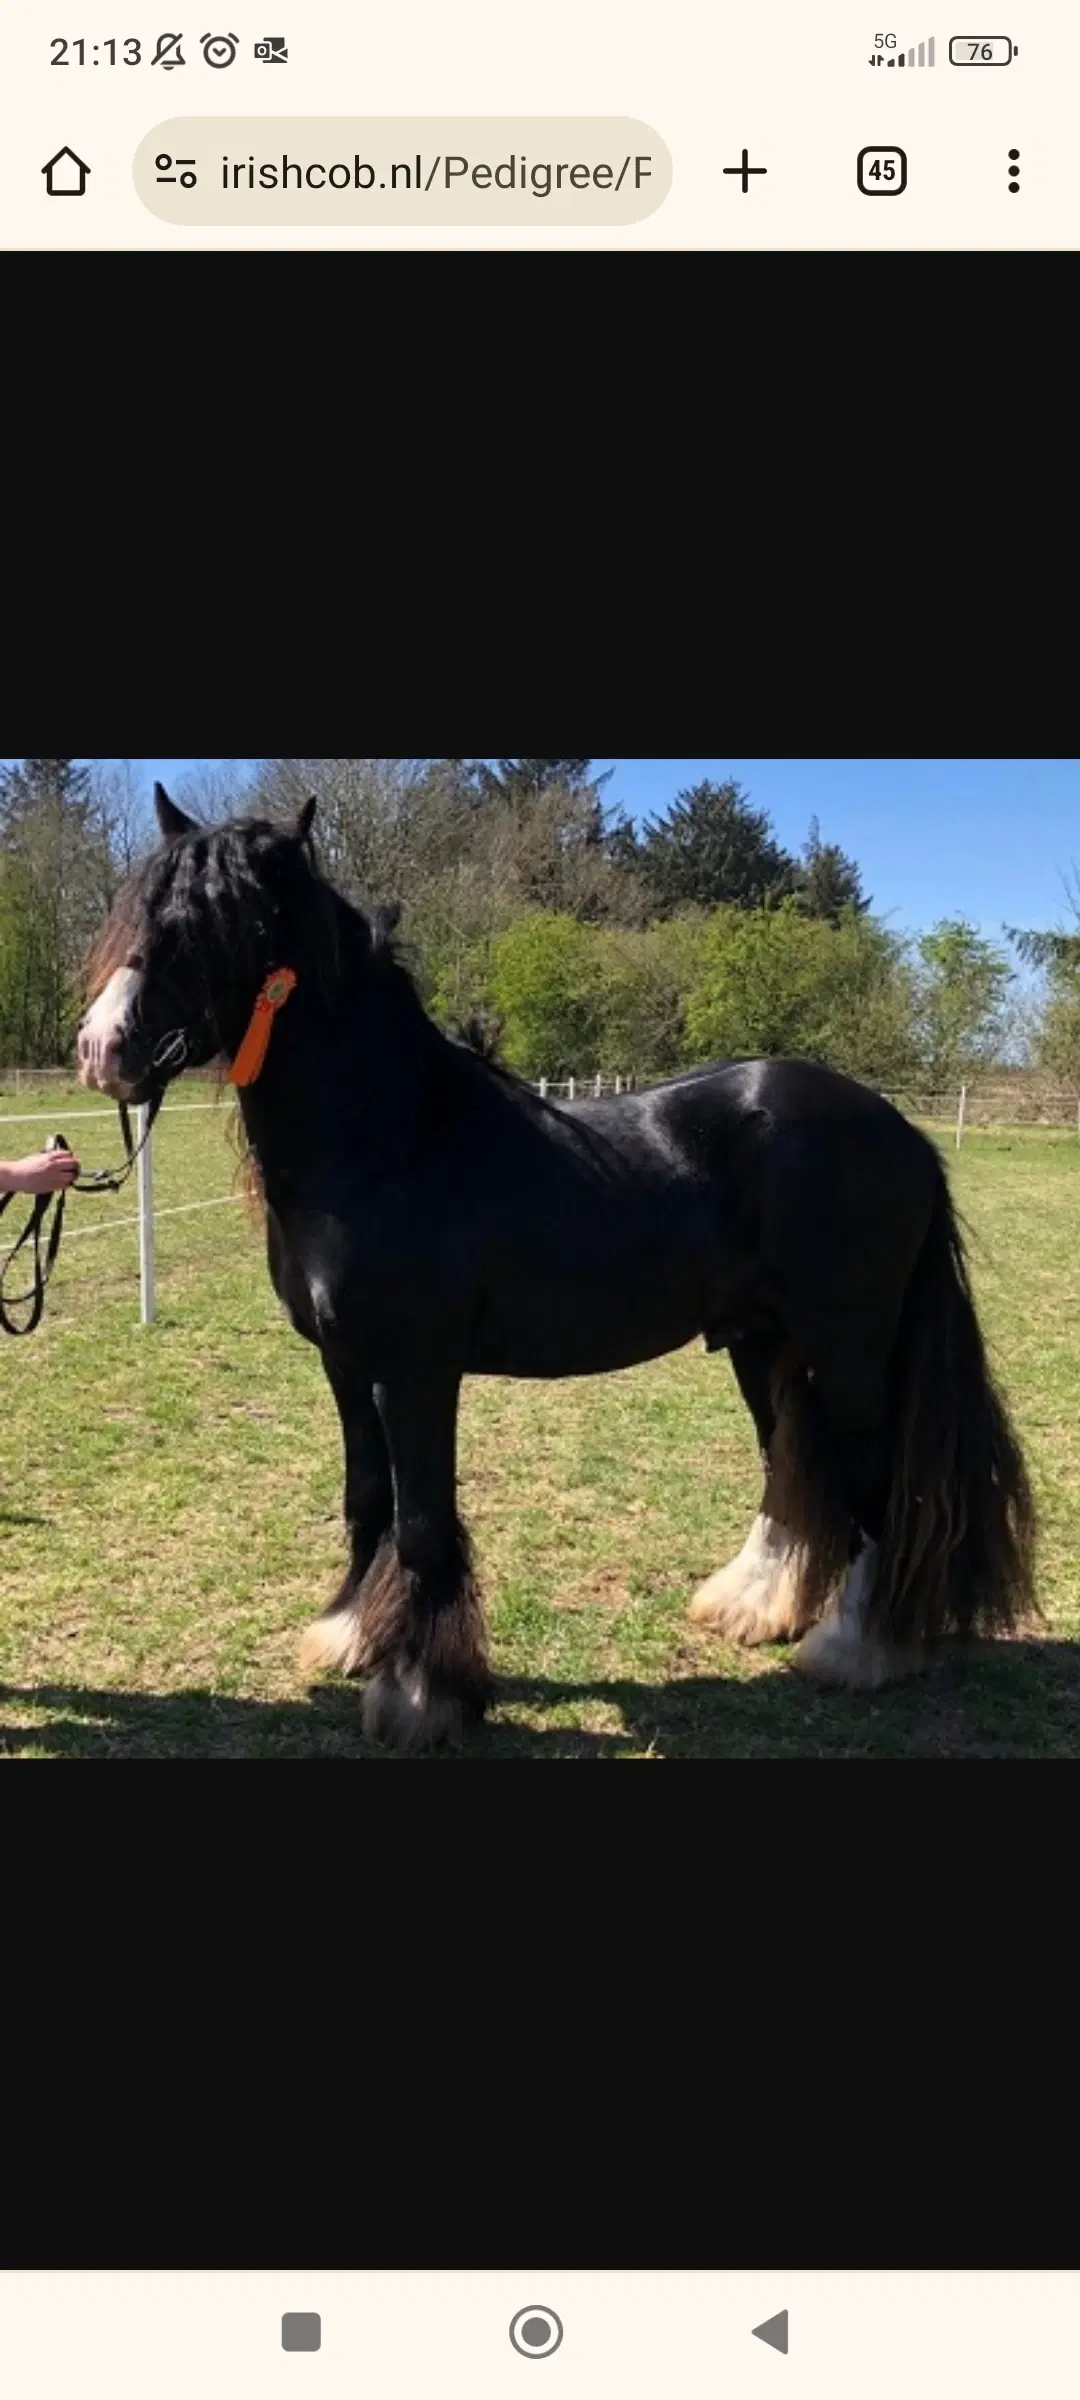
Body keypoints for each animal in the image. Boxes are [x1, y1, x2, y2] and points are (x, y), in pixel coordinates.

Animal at [78, 787, 1036, 1747]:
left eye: (226, 924)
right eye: (140, 910)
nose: (102, 1047)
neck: (392, 1138)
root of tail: (900, 1133)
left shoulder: (415, 1372)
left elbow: (422, 1524)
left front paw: (422, 1694)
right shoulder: (345, 1367)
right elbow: (367, 1501)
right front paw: (351, 1635)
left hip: (851, 1350)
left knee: (871, 1483)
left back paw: (855, 1650)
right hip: (762, 1345)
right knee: (794, 1469)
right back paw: (752, 1607)